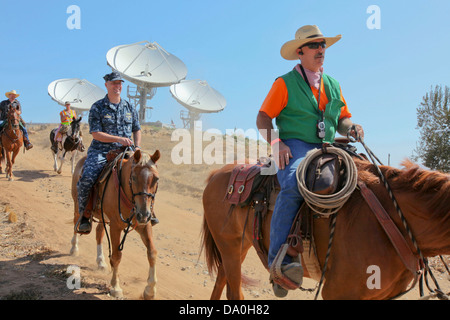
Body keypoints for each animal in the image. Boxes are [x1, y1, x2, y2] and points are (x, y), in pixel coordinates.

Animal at [69, 149, 161, 298]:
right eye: (133, 177)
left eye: (156, 179)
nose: (143, 214)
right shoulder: (115, 226)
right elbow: (117, 256)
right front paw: (115, 287)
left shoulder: (144, 226)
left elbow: (152, 252)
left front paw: (150, 290)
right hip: (78, 206)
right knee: (75, 225)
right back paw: (74, 248)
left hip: (103, 218)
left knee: (99, 233)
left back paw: (101, 262)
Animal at [201, 158, 450, 300]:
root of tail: (215, 175)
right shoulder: (339, 292)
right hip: (229, 247)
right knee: (233, 291)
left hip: (239, 246)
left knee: (221, 280)